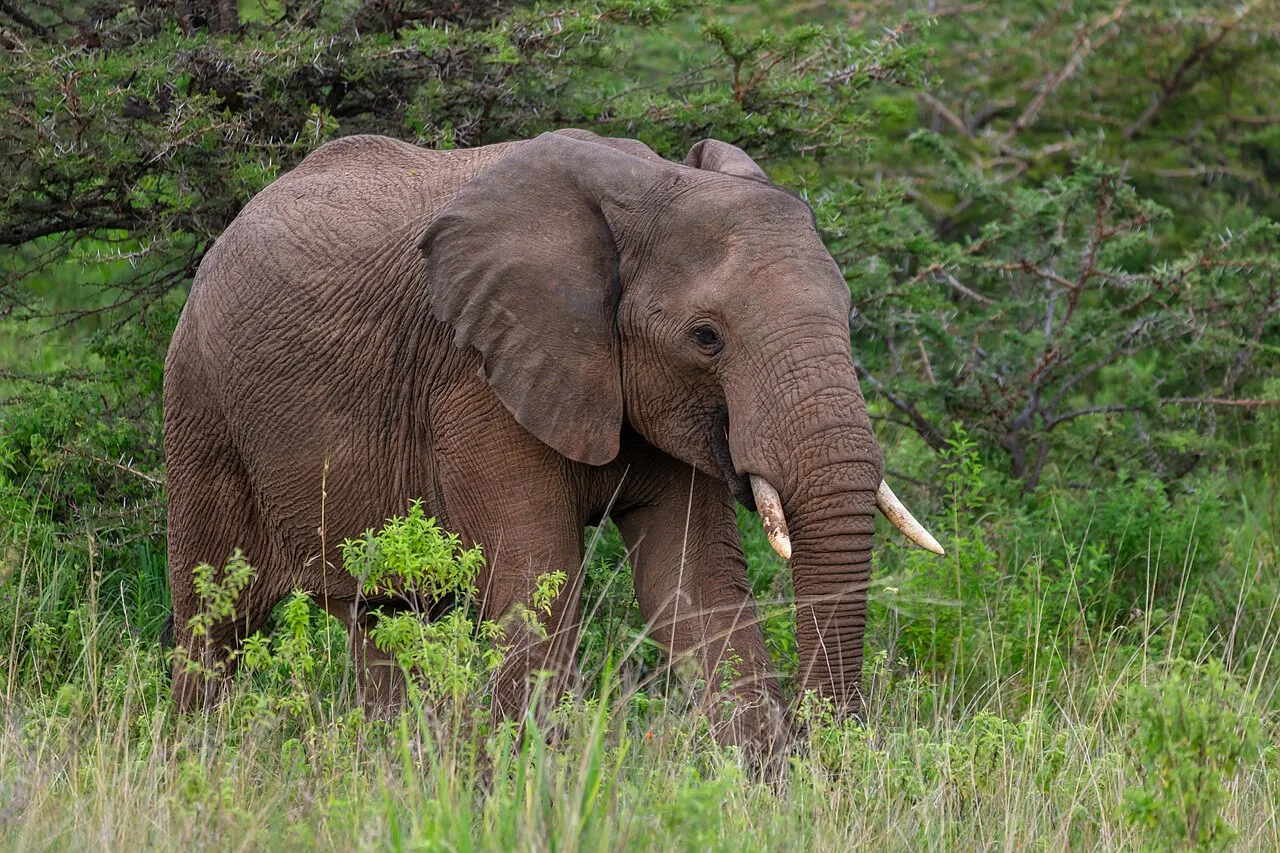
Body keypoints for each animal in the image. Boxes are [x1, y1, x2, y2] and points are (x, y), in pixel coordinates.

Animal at [163, 128, 942, 750]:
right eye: (706, 337)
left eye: (848, 312)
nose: (831, 739)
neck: (647, 187)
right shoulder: (477, 383)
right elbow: (538, 583)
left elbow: (694, 587)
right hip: (200, 408)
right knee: (214, 619)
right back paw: (195, 765)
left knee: (386, 616)